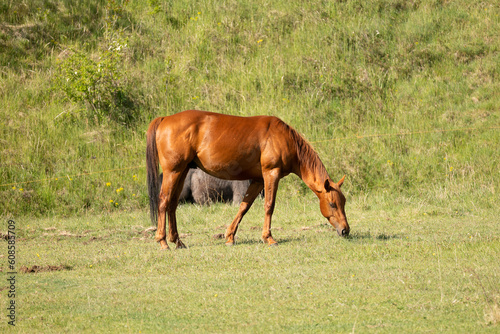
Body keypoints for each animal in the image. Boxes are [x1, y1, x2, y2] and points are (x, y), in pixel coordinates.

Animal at [146, 109, 348, 248]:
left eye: (343, 203)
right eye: (332, 204)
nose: (346, 230)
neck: (283, 138)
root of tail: (165, 119)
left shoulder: (258, 180)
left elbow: (244, 207)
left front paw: (230, 237)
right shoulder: (271, 174)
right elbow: (269, 205)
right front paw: (268, 238)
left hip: (181, 172)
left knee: (172, 204)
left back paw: (177, 241)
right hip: (173, 172)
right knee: (163, 201)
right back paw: (162, 241)